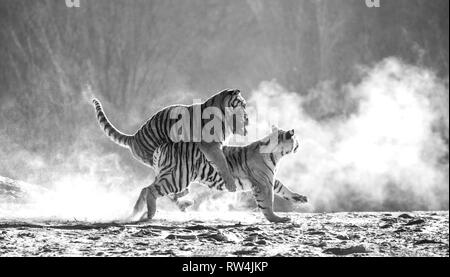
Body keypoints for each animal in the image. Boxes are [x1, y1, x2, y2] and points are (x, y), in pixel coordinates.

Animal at [92, 89, 248, 192]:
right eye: (243, 104)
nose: (247, 116)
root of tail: (134, 137)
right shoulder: (210, 145)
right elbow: (222, 162)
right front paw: (231, 184)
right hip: (155, 157)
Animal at [132, 125, 308, 222]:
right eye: (296, 139)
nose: (299, 144)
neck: (276, 155)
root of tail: (162, 146)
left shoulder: (270, 179)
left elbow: (283, 188)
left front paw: (299, 198)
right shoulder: (263, 183)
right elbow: (267, 204)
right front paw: (277, 219)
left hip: (169, 176)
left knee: (144, 189)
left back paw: (136, 211)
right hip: (177, 178)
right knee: (150, 190)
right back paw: (149, 214)